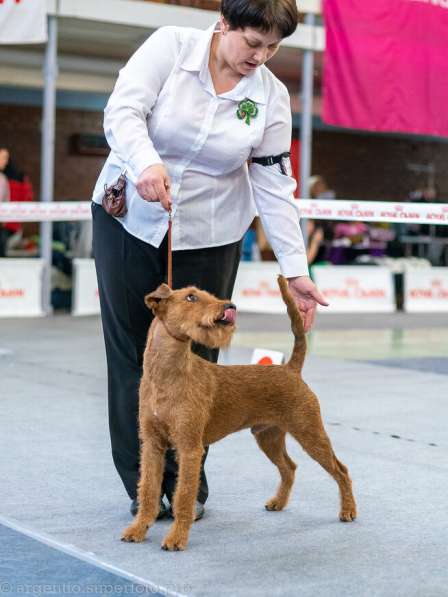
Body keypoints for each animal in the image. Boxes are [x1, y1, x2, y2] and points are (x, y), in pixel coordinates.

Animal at [121, 274, 356, 548]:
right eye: (191, 296)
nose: (229, 306)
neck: (167, 374)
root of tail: (290, 369)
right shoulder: (152, 444)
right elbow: (148, 490)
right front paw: (138, 529)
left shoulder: (189, 448)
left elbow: (184, 496)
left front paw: (176, 538)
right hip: (268, 436)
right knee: (289, 467)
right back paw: (278, 502)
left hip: (310, 432)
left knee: (341, 470)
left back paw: (348, 511)